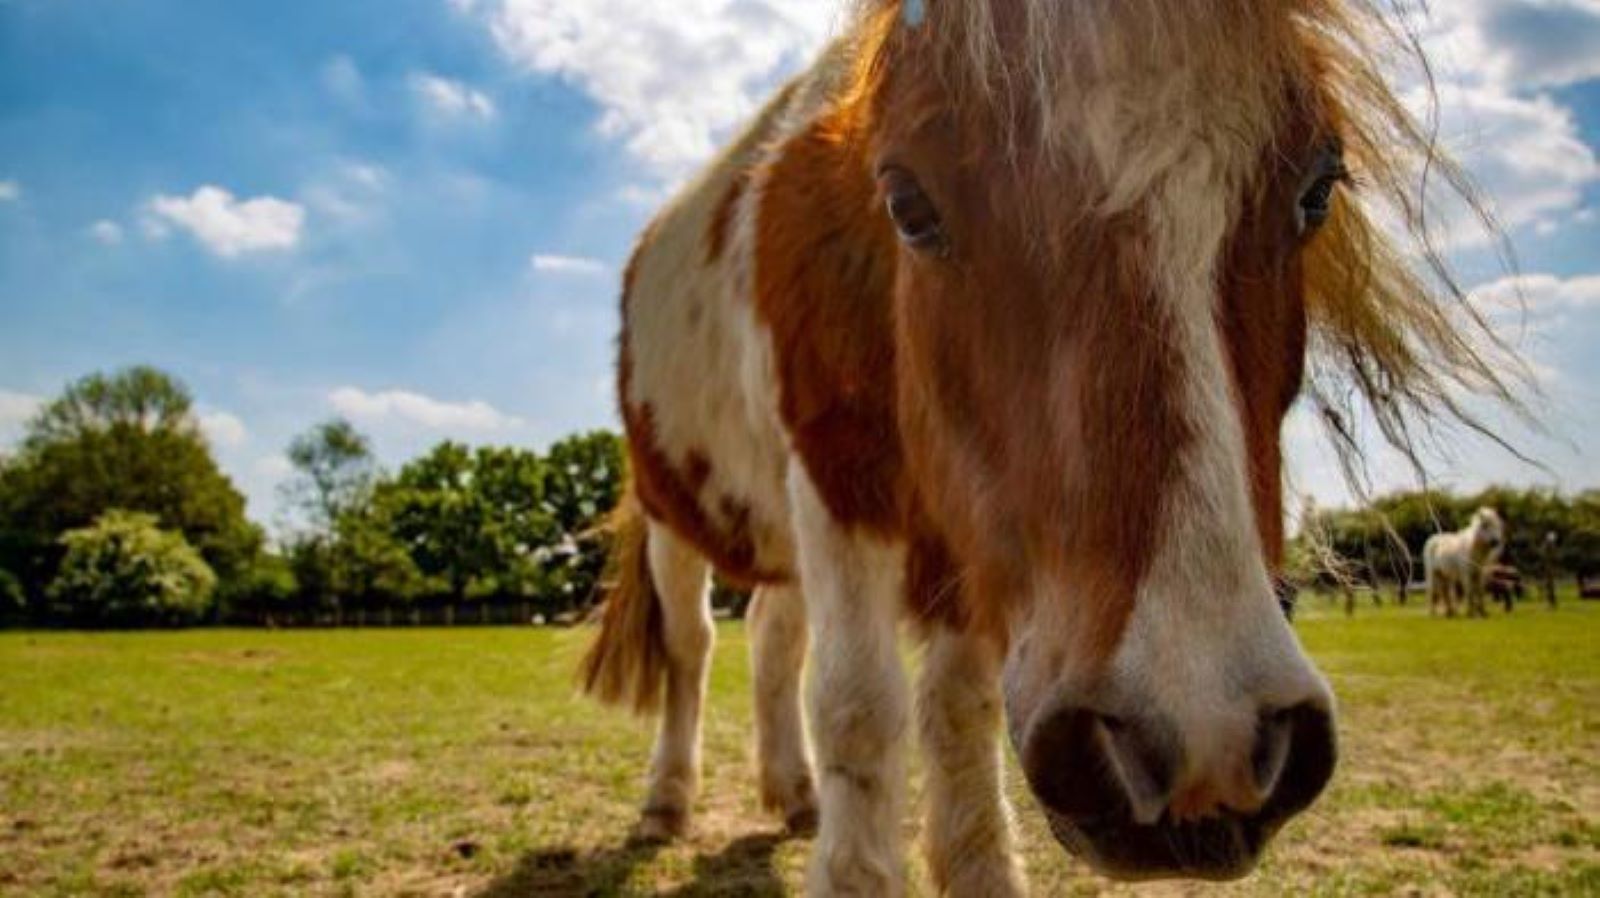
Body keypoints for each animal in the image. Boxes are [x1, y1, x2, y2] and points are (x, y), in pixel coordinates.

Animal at [582, 0, 1516, 889]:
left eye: (1318, 188)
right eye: (908, 204)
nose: (1202, 742)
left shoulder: (966, 530)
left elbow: (958, 710)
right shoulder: (838, 485)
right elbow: (859, 706)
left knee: (774, 638)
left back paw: (795, 792)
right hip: (676, 516)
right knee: (694, 649)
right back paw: (667, 800)